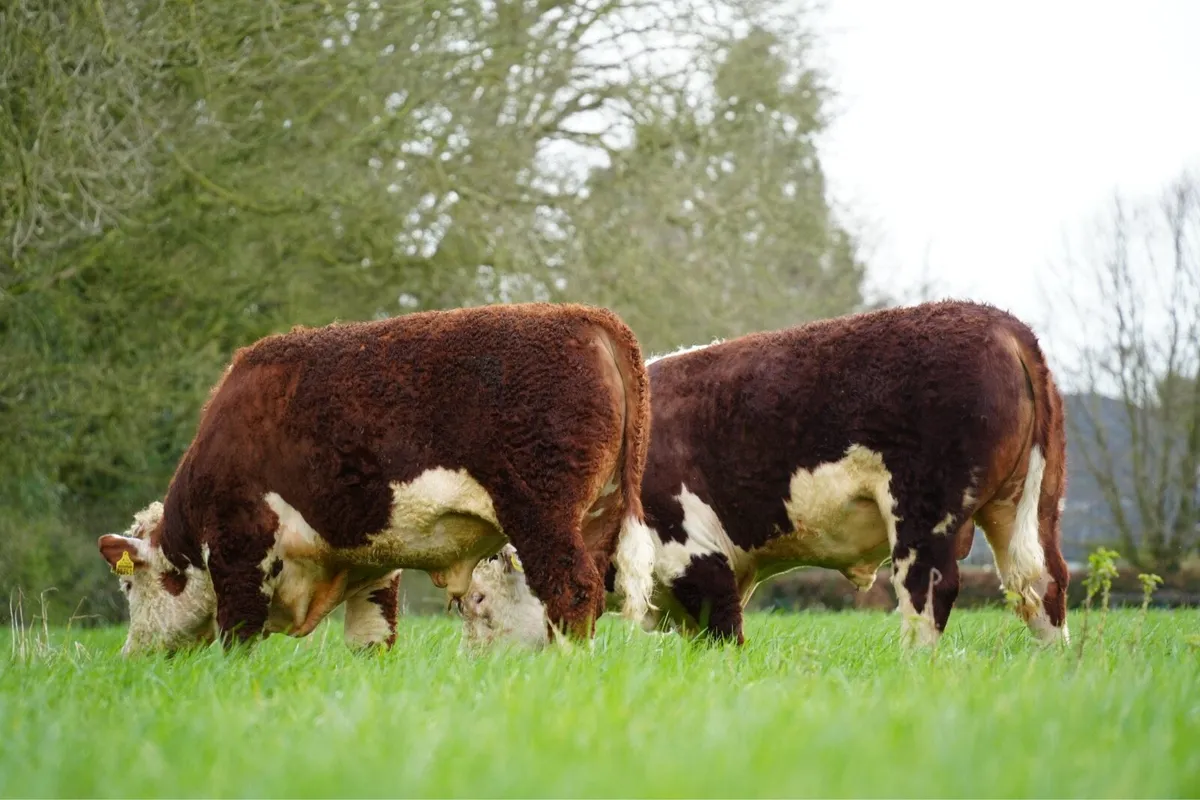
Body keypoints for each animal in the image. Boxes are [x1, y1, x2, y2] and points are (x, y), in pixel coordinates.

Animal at [96, 302, 655, 656]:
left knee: (571, 590)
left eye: (127, 584)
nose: (130, 656)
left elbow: (238, 633)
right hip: (597, 515)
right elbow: (371, 638)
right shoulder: (374, 561)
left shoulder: (240, 540)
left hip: (541, 511)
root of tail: (588, 317)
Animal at [461, 300, 1071, 650]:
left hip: (924, 514)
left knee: (929, 593)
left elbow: (725, 639)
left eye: (479, 602)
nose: (481, 672)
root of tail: (1003, 324)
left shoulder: (695, 555)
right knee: (1042, 583)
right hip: (1028, 504)